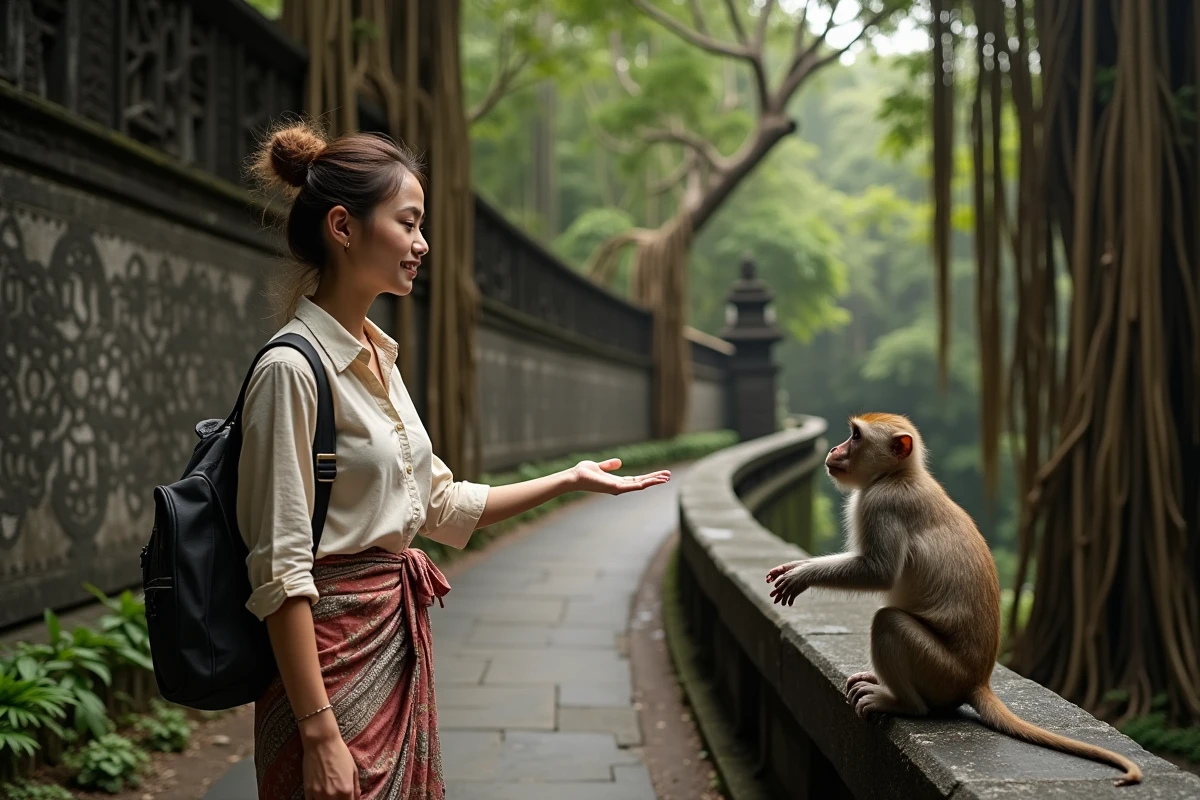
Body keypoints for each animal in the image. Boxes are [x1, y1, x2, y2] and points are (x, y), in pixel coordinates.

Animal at [764, 413, 1142, 787]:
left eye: (855, 436)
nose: (835, 449)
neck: (898, 474)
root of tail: (977, 680)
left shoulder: (882, 502)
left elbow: (878, 572)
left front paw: (801, 575)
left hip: (941, 672)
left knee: (889, 623)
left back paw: (902, 704)